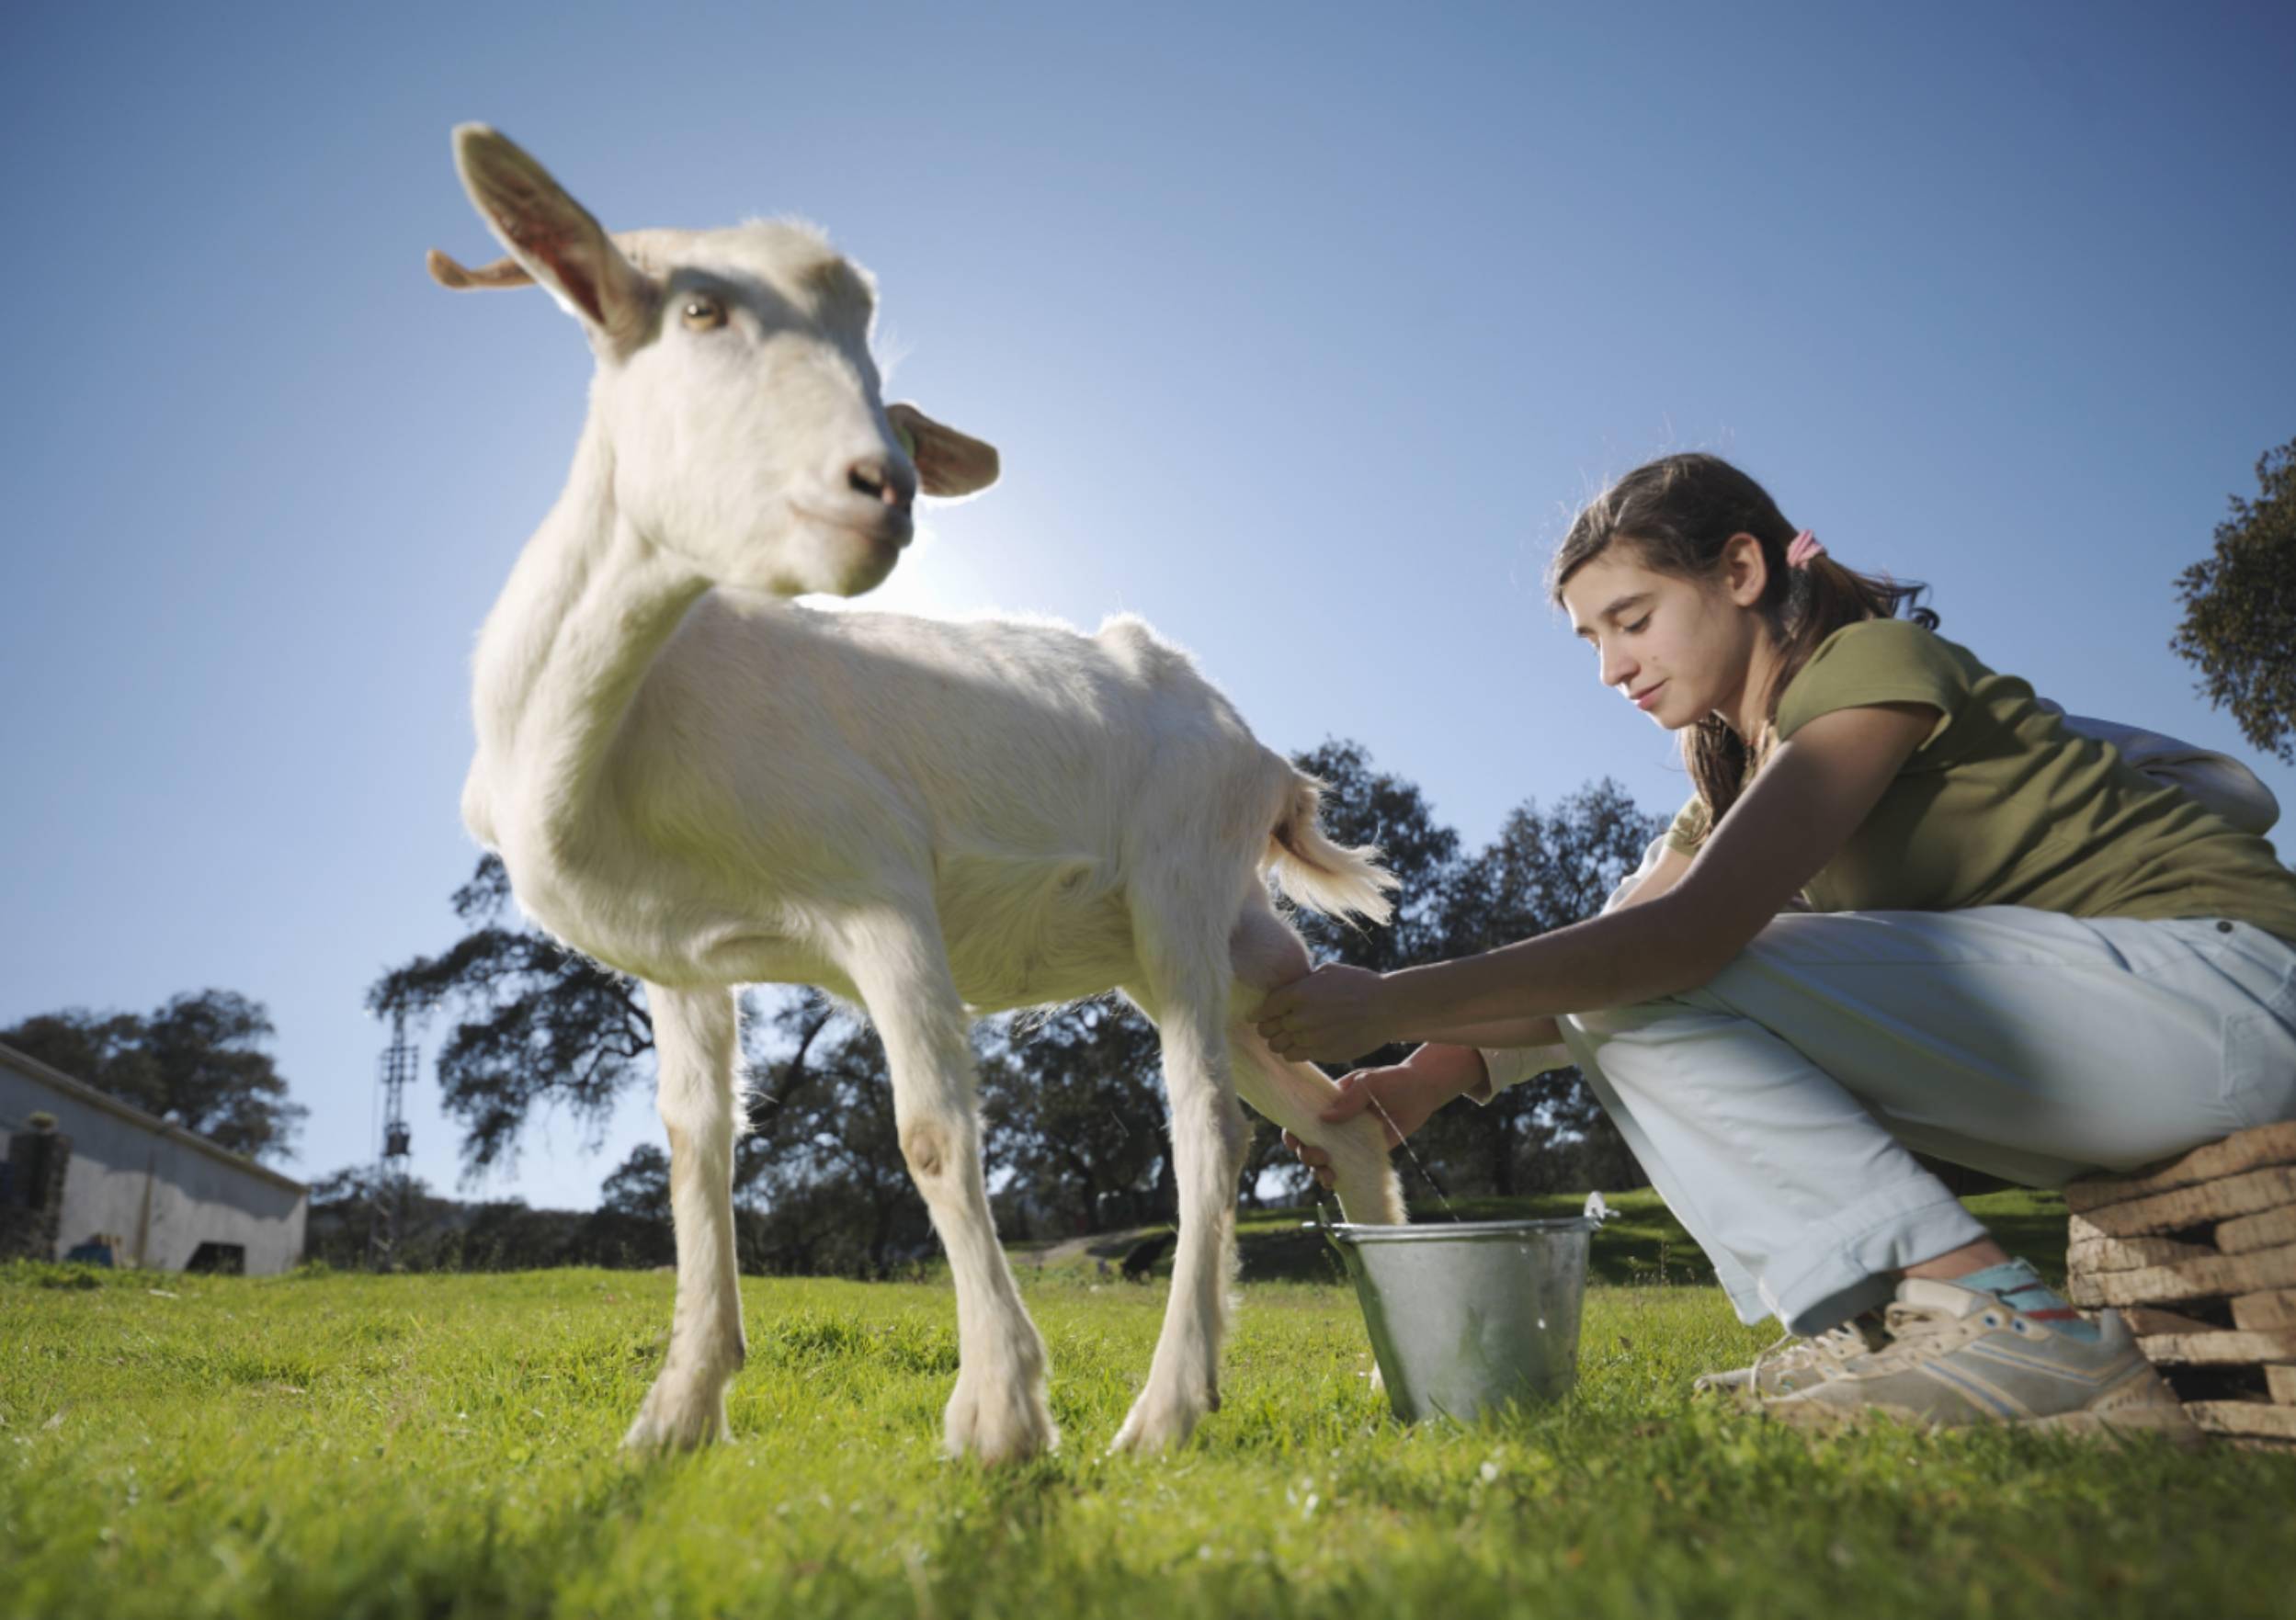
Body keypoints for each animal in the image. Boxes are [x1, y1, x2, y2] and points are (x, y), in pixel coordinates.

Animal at [429, 126, 1395, 1459]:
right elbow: (694, 1153)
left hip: (1180, 887)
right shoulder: (680, 962)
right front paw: (675, 1412)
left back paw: (1161, 1408)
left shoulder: (878, 891)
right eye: (699, 307)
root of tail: (1261, 756)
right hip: (1220, 953)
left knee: (1208, 1126)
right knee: (1336, 1111)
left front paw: (997, 1412)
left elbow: (931, 1133)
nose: (879, 485)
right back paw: (1386, 1374)